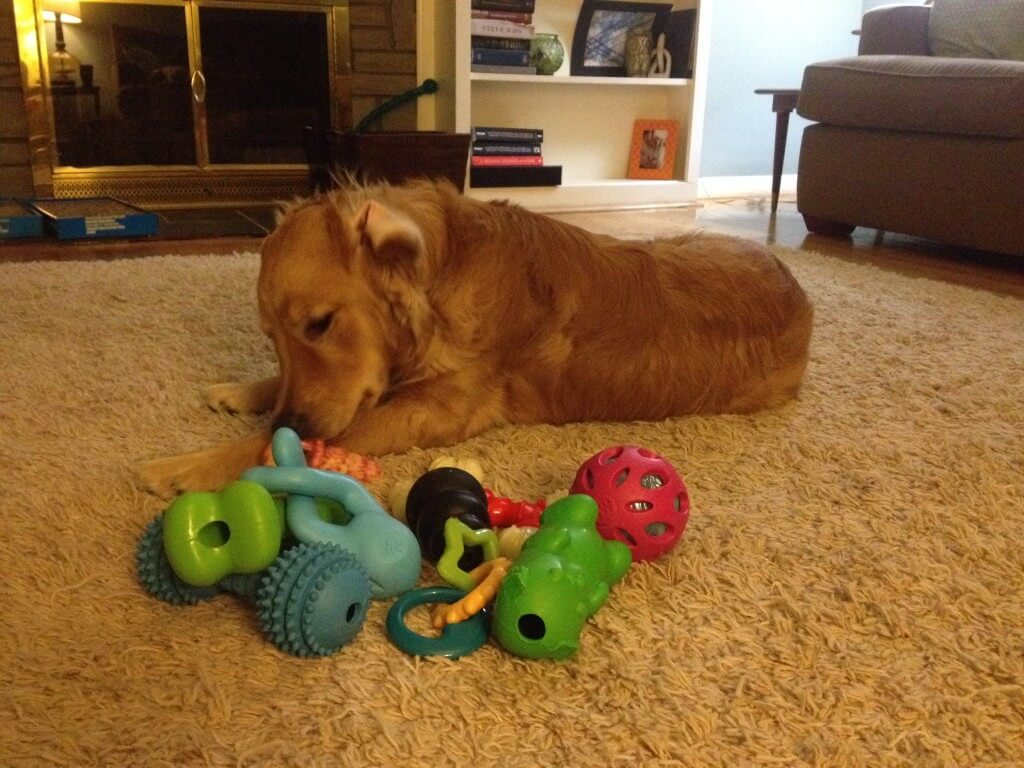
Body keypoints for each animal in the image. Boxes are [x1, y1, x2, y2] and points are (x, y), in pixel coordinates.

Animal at [140, 177, 811, 495]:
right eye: (272, 337)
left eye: (321, 324)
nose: (295, 422)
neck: (441, 280)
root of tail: (797, 288)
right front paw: (242, 390)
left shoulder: (438, 409)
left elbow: (268, 444)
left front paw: (190, 464)